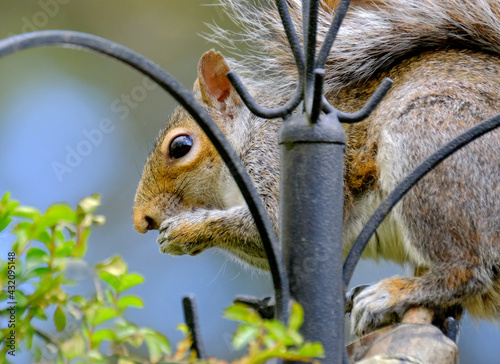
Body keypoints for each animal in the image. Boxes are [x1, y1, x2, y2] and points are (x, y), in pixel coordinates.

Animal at [133, 0, 500, 336]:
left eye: (180, 147)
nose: (142, 220)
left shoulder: (270, 162)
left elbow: (273, 227)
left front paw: (186, 230)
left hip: (428, 142)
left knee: (466, 271)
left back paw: (393, 295)